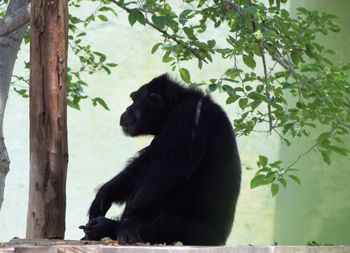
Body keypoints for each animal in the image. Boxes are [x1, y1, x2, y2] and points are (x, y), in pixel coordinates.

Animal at [79, 73, 242, 245]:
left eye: (134, 101)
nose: (127, 109)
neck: (172, 110)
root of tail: (222, 240)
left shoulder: (189, 117)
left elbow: (165, 169)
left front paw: (127, 223)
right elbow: (142, 162)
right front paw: (103, 195)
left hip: (197, 234)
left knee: (162, 222)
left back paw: (107, 227)